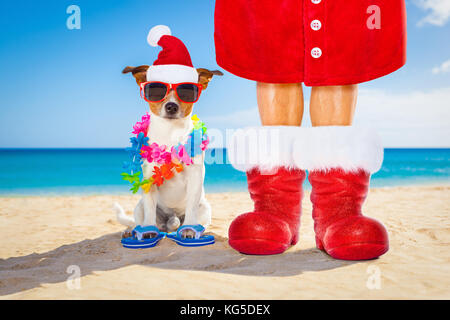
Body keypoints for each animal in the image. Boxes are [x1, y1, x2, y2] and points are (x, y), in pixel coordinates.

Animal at [115, 66, 222, 239]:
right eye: (156, 90)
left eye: (187, 92)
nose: (171, 106)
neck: (170, 133)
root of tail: (171, 221)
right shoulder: (149, 179)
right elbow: (150, 209)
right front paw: (148, 229)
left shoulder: (195, 176)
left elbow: (191, 205)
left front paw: (189, 229)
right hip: (139, 207)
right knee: (141, 221)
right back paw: (132, 230)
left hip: (205, 208)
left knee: (201, 221)